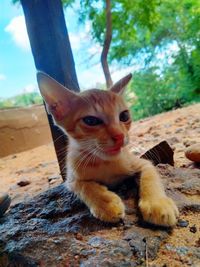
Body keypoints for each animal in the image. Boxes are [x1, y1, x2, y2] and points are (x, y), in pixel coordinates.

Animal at [37, 72, 178, 227]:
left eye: (124, 116)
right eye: (91, 121)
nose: (120, 136)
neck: (105, 163)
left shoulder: (144, 163)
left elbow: (150, 178)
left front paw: (157, 204)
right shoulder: (71, 179)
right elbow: (84, 186)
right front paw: (106, 204)